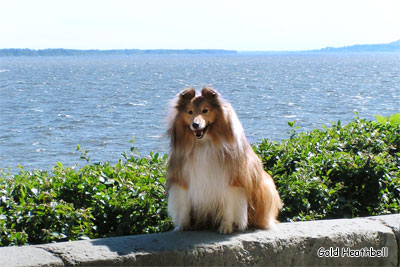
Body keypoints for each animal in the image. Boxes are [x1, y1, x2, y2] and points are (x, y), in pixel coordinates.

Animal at [166, 88, 282, 234]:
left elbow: (229, 208)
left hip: (265, 186)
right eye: (190, 112)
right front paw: (183, 225)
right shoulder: (183, 179)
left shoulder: (232, 181)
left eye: (205, 110)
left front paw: (226, 227)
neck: (204, 143)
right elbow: (184, 205)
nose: (195, 124)